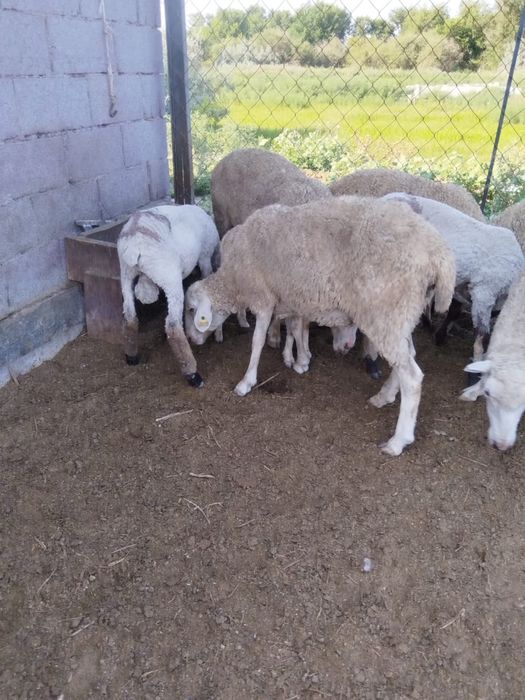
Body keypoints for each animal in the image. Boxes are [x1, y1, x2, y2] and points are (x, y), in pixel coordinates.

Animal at [117, 205, 220, 388]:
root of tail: (136, 241)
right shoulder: (205, 257)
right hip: (169, 276)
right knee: (173, 326)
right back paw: (192, 374)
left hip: (126, 275)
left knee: (129, 318)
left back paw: (132, 357)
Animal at [184, 195, 456, 456]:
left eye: (191, 310)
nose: (192, 340)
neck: (233, 280)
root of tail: (439, 252)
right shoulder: (292, 299)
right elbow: (296, 329)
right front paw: (299, 360)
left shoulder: (263, 298)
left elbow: (257, 342)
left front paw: (247, 382)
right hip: (401, 314)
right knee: (407, 358)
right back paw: (384, 396)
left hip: (386, 311)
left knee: (412, 376)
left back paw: (398, 441)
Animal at [211, 148, 362, 370]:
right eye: (348, 319)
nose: (348, 347)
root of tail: (231, 153)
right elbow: (289, 320)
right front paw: (278, 339)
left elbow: (302, 322)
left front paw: (302, 351)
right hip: (221, 218)